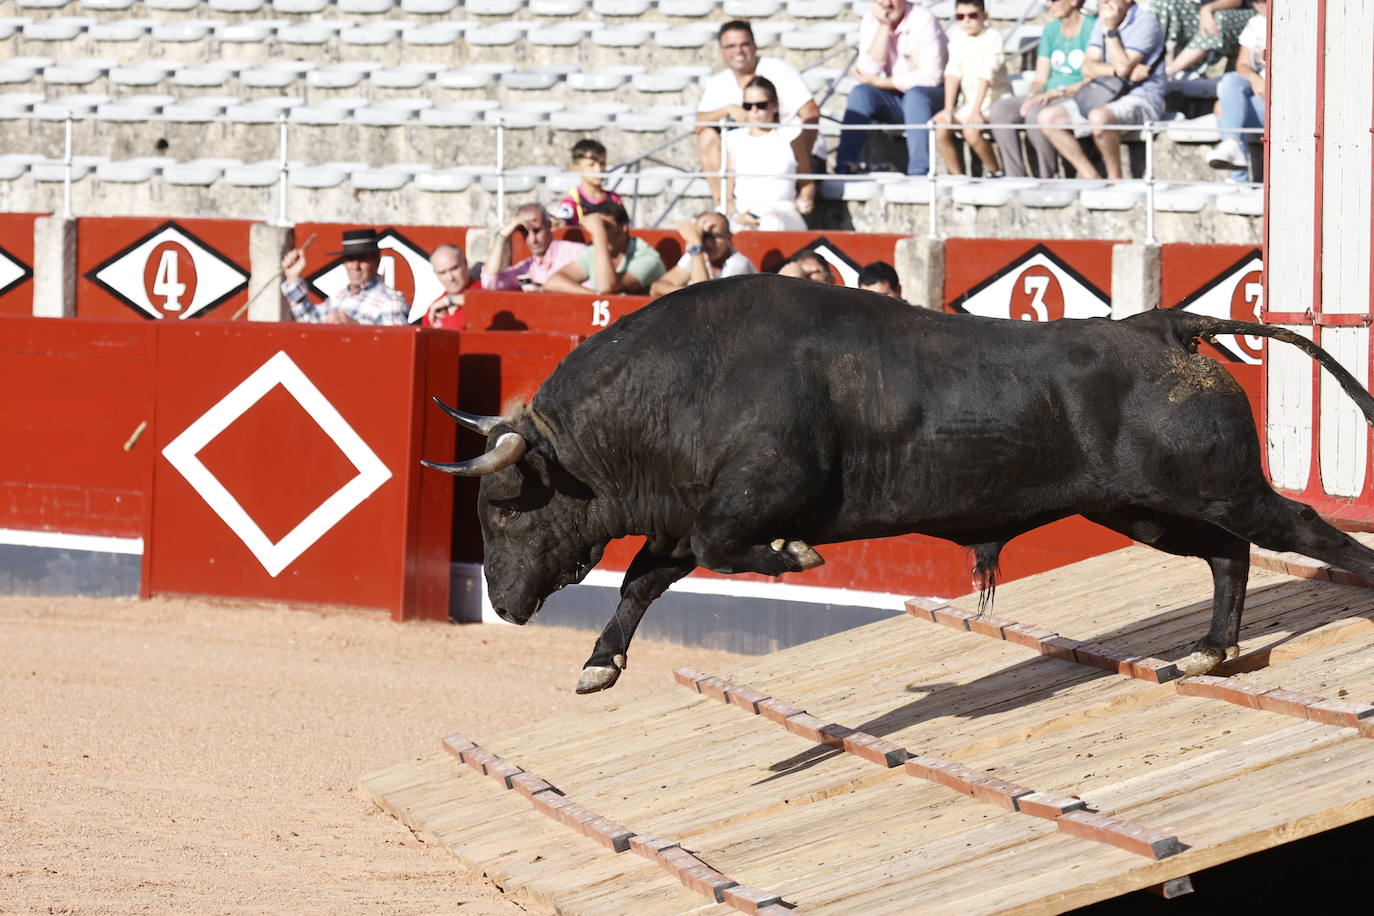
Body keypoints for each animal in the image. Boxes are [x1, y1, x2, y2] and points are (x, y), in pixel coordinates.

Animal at [423, 276, 1374, 692]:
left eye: (503, 514)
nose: (503, 604)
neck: (682, 387)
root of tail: (1164, 324)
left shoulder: (742, 503)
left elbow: (726, 549)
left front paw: (798, 557)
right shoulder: (685, 519)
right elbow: (643, 578)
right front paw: (600, 663)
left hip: (1215, 487)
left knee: (1305, 531)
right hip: (1144, 509)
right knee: (1229, 556)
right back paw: (1211, 649)